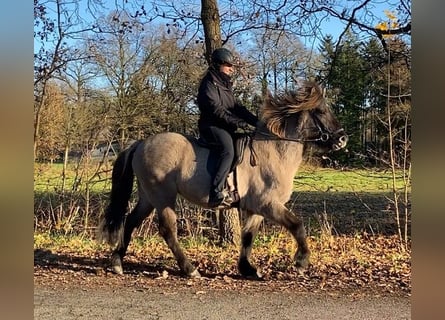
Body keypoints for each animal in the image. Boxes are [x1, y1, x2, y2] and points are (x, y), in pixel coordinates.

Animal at [99, 80, 348, 278]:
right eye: (321, 111)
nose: (342, 139)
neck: (274, 152)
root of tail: (141, 143)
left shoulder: (256, 207)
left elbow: (248, 236)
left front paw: (248, 269)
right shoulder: (268, 204)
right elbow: (297, 225)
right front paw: (301, 262)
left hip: (148, 197)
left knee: (131, 221)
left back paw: (118, 262)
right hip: (163, 196)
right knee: (167, 230)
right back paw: (189, 269)